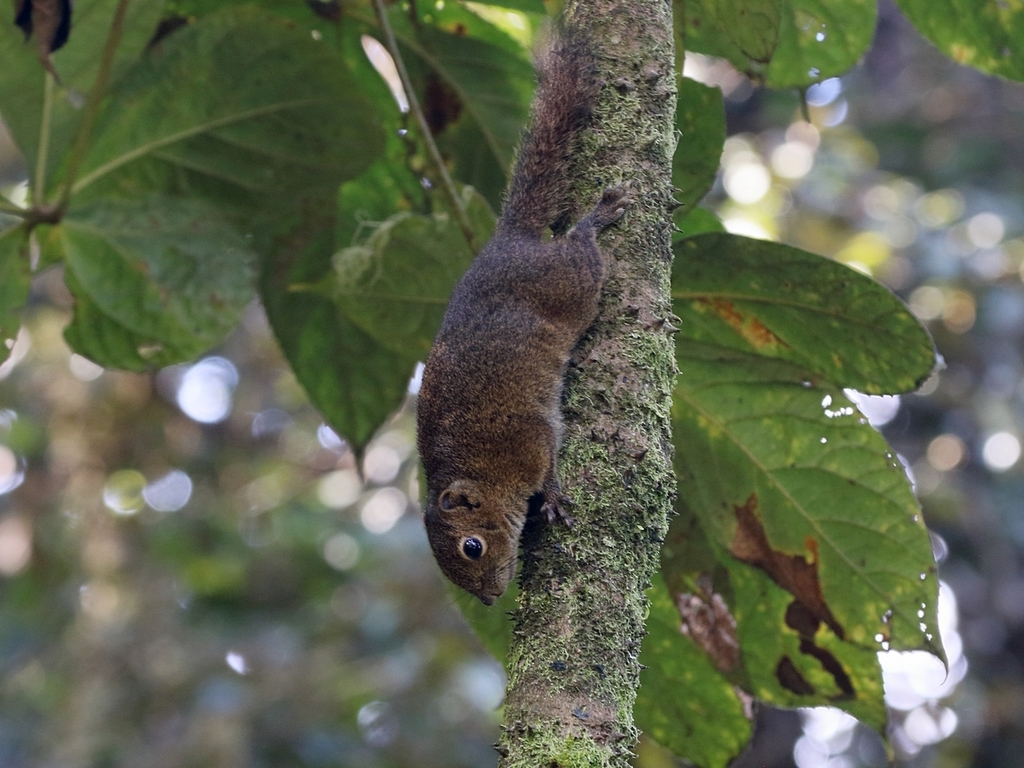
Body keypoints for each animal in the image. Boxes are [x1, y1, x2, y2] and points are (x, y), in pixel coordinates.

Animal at [416, 27, 629, 606]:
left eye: (472, 546)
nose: (490, 600)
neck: (481, 470)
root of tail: (509, 239)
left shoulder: (526, 443)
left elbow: (550, 459)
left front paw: (552, 497)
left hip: (570, 281)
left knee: (582, 249)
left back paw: (594, 220)